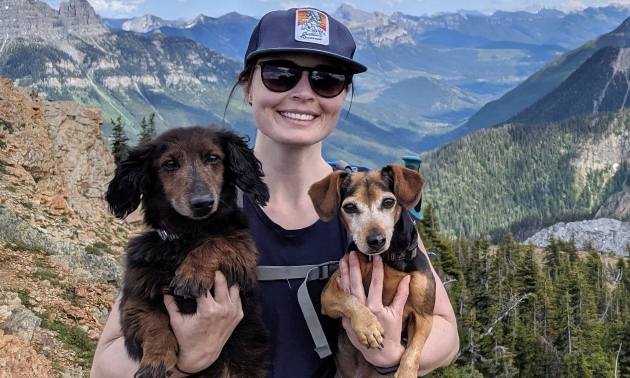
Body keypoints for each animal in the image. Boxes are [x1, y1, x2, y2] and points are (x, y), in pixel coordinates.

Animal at [106, 125, 270, 376]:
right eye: (170, 164)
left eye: (213, 158)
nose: (203, 204)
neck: (188, 236)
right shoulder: (138, 294)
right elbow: (153, 324)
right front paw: (156, 361)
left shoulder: (243, 251)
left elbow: (217, 242)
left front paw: (191, 275)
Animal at [308, 165, 436, 378]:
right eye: (350, 207)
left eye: (388, 202)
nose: (376, 240)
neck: (388, 259)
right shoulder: (328, 295)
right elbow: (349, 299)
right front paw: (368, 326)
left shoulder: (423, 315)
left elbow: (413, 351)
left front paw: (406, 372)